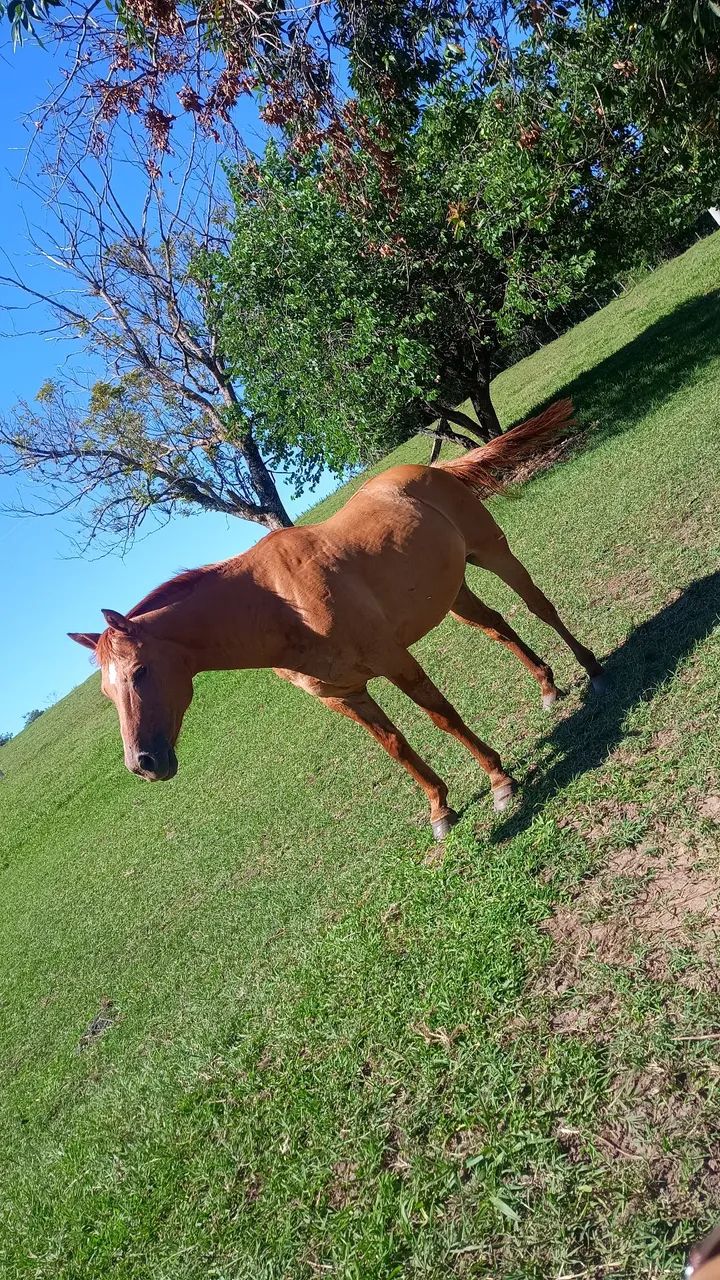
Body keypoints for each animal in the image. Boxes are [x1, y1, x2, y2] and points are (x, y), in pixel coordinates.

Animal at [69, 399, 603, 841]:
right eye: (106, 692)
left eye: (140, 672)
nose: (143, 763)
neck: (280, 606)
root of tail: (431, 469)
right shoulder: (344, 696)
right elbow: (395, 746)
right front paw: (440, 811)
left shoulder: (394, 660)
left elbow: (442, 717)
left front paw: (499, 782)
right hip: (454, 594)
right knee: (498, 627)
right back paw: (547, 687)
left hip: (491, 552)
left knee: (538, 606)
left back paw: (592, 670)